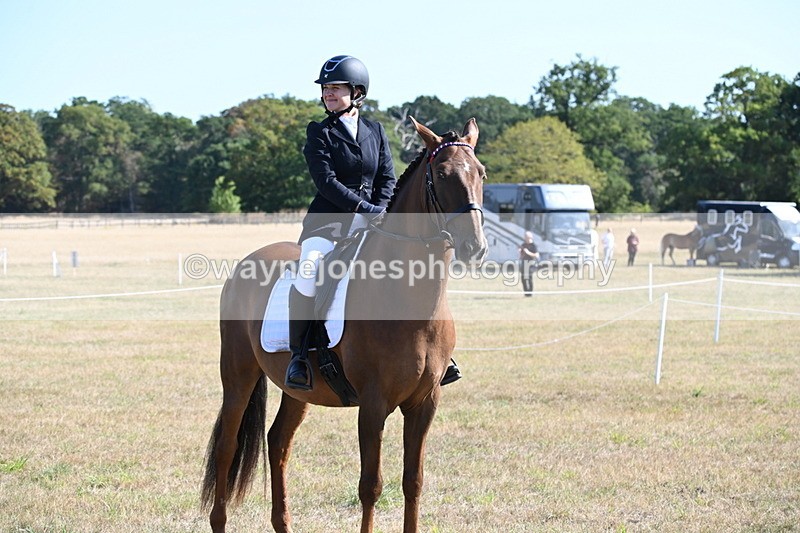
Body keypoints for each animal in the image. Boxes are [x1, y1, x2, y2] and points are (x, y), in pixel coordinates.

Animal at [201, 117, 487, 533]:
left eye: (481, 173)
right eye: (443, 174)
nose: (474, 247)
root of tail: (245, 264)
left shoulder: (424, 403)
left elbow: (413, 482)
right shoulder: (373, 404)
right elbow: (371, 486)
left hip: (296, 388)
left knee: (278, 441)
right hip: (238, 372)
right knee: (228, 444)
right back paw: (220, 519)